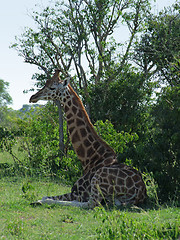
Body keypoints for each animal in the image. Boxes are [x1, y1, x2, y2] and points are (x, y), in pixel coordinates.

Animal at [29, 70, 147, 208]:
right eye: (45, 83)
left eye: (52, 87)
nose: (33, 97)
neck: (89, 159)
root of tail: (140, 193)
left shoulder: (79, 192)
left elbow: (48, 196)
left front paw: (39, 200)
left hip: (98, 179)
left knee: (91, 204)